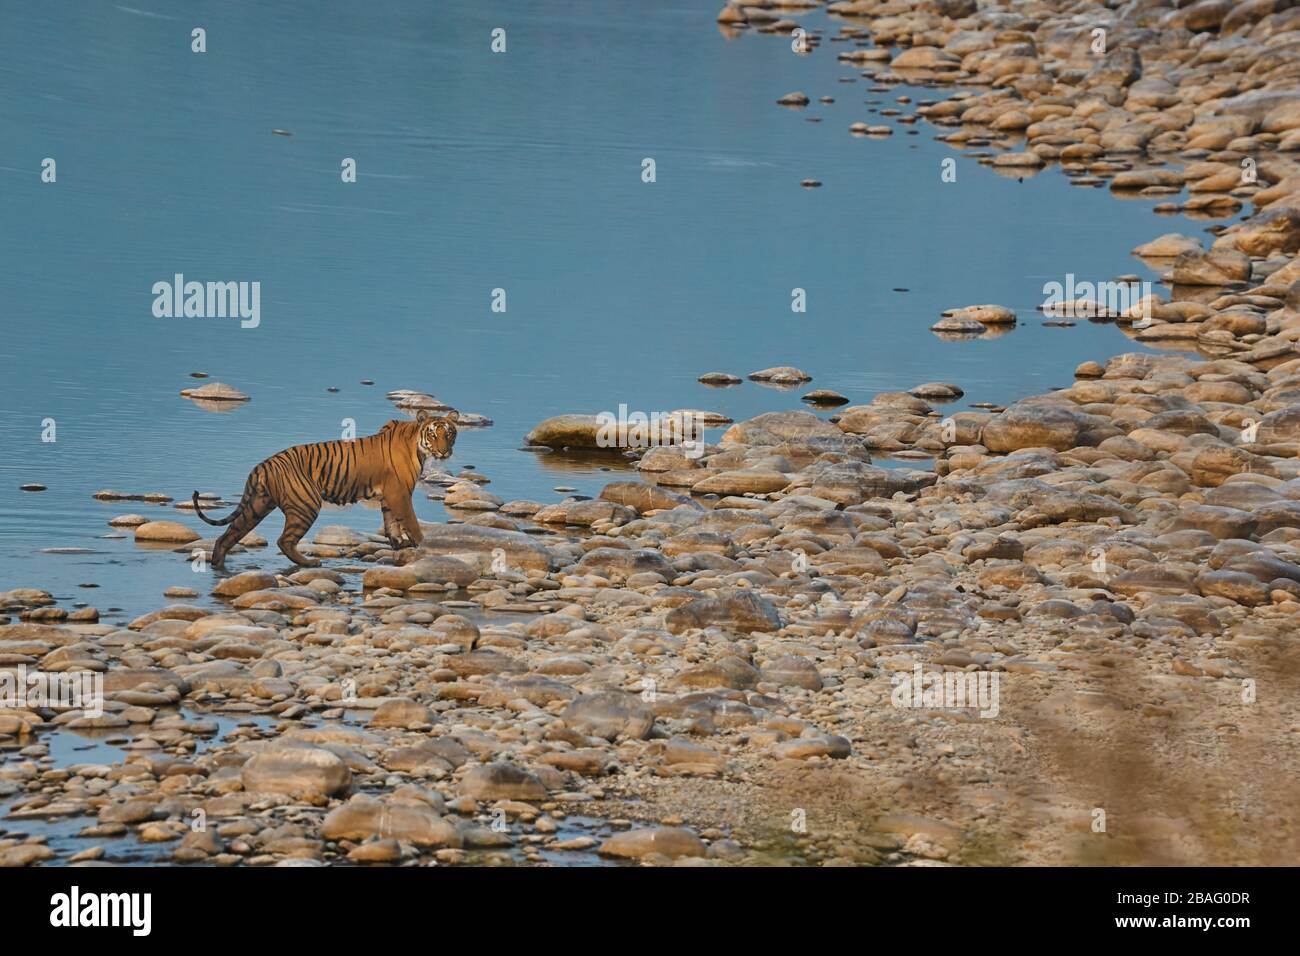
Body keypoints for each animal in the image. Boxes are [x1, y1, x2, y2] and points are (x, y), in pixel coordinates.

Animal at [193, 410, 458, 570]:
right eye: (433, 434)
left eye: (449, 433)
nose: (444, 451)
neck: (417, 444)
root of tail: (262, 465)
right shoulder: (399, 493)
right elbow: (410, 522)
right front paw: (423, 546)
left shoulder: (390, 495)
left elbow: (391, 522)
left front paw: (399, 546)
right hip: (306, 505)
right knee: (284, 541)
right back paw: (310, 564)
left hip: (257, 506)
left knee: (227, 535)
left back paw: (217, 564)